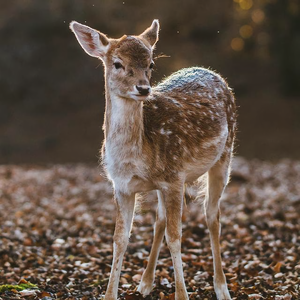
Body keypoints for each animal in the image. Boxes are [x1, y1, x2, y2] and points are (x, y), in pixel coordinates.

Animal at [70, 19, 237, 300]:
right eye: (117, 63)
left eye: (151, 64)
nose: (143, 88)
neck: (135, 158)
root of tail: (212, 72)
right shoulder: (122, 186)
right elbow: (120, 239)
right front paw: (110, 294)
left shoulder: (175, 178)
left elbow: (176, 237)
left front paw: (182, 295)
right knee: (159, 220)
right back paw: (145, 283)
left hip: (225, 154)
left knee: (212, 216)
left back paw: (222, 287)